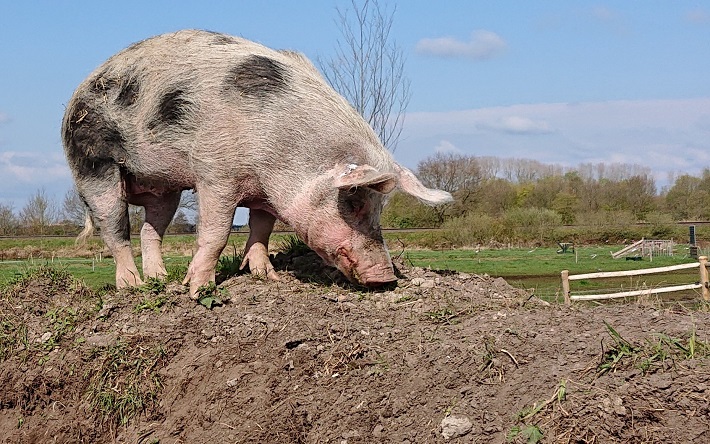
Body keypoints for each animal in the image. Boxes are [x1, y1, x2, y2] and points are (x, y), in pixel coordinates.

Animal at [61, 29, 450, 296]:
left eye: (380, 206)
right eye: (353, 203)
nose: (385, 277)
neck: (283, 156)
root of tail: (79, 89)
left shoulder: (265, 194)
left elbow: (261, 229)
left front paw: (268, 277)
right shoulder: (215, 174)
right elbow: (215, 234)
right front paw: (197, 289)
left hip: (164, 186)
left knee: (149, 229)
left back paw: (160, 279)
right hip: (92, 165)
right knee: (115, 230)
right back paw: (134, 287)